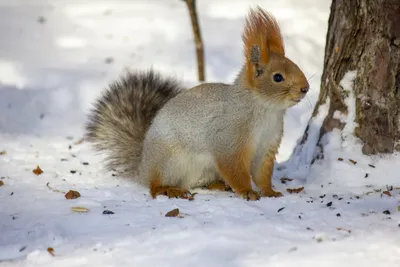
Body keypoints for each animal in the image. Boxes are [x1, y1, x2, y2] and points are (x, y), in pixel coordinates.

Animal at [85, 6, 310, 201]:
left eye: (296, 65)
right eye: (278, 77)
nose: (305, 88)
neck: (266, 110)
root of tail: (143, 165)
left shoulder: (267, 147)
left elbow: (262, 174)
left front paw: (270, 192)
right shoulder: (229, 141)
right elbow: (235, 170)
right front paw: (246, 191)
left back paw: (218, 185)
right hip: (169, 161)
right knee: (154, 185)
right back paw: (168, 189)